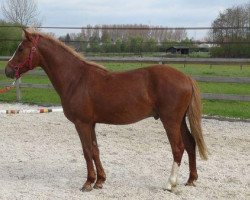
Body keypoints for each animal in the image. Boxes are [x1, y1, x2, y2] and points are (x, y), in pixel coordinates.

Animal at [4, 28, 207, 191]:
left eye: (20, 49)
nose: (7, 70)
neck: (76, 79)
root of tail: (186, 77)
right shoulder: (91, 123)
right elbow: (95, 150)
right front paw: (100, 181)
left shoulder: (82, 124)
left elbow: (87, 151)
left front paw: (88, 183)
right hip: (180, 121)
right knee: (190, 144)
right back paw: (191, 179)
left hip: (170, 121)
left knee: (178, 148)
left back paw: (170, 183)